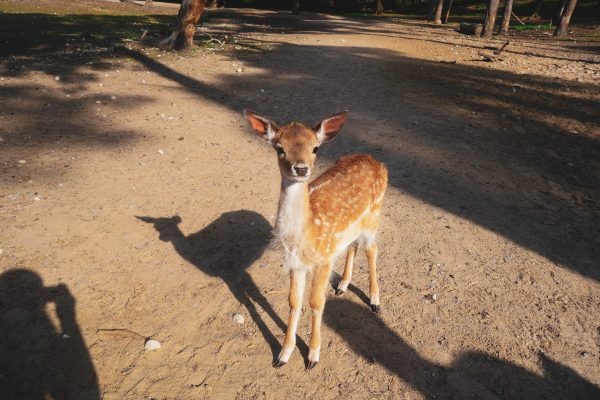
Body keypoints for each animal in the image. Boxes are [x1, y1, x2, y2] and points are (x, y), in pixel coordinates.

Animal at [244, 108, 390, 368]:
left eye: (315, 149)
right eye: (280, 148)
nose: (301, 169)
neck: (305, 235)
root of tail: (377, 162)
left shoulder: (323, 261)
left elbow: (315, 302)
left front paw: (312, 356)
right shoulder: (296, 262)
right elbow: (294, 301)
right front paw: (283, 355)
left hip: (374, 216)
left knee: (372, 249)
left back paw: (375, 301)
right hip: (351, 229)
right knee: (353, 246)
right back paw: (342, 285)